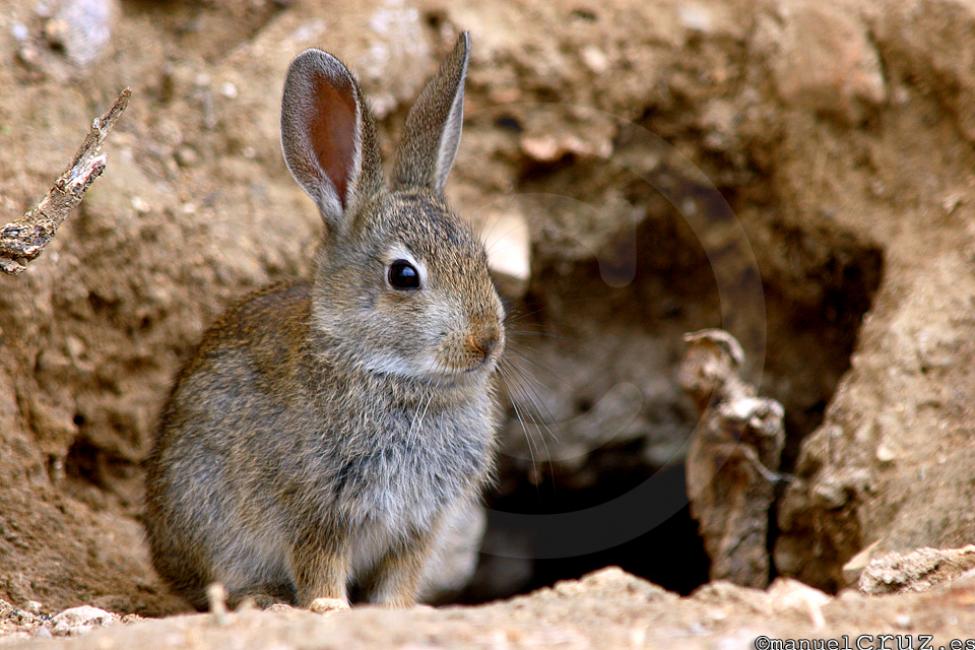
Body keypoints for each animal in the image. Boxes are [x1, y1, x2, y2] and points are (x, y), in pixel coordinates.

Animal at [149, 33, 508, 612]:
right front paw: (329, 608)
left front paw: (395, 611)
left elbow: (400, 577)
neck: (391, 376)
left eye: (482, 259)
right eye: (404, 275)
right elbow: (319, 566)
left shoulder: (417, 527)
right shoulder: (316, 511)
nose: (487, 342)